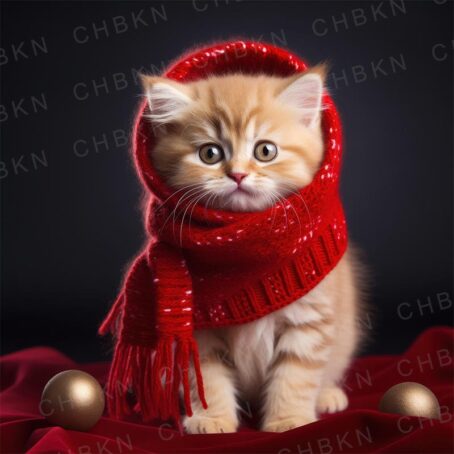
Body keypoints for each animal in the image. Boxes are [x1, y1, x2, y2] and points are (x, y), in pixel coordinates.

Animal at [142, 68, 362, 432]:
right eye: (210, 154)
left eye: (265, 151)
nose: (238, 175)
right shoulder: (198, 334)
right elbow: (205, 380)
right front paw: (211, 418)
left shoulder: (308, 320)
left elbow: (295, 376)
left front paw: (288, 420)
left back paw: (328, 395)